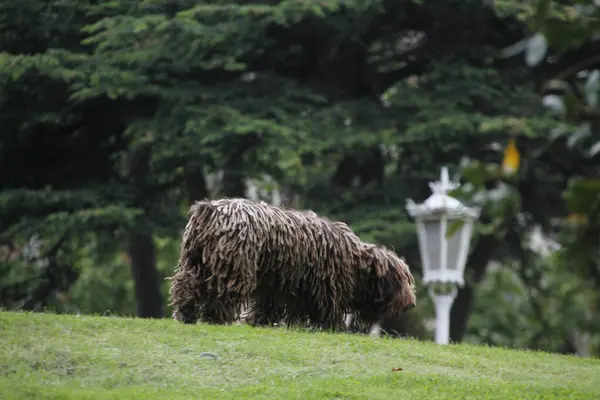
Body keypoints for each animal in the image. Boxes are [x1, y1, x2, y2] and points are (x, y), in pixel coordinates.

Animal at [166, 197, 414, 332]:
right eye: (402, 281)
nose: (411, 304)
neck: (355, 260)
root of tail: (209, 210)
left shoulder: (274, 285)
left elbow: (267, 307)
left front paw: (257, 321)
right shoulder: (326, 287)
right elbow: (329, 310)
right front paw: (335, 328)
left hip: (194, 261)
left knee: (186, 285)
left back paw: (186, 313)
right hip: (233, 267)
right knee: (221, 293)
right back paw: (215, 318)